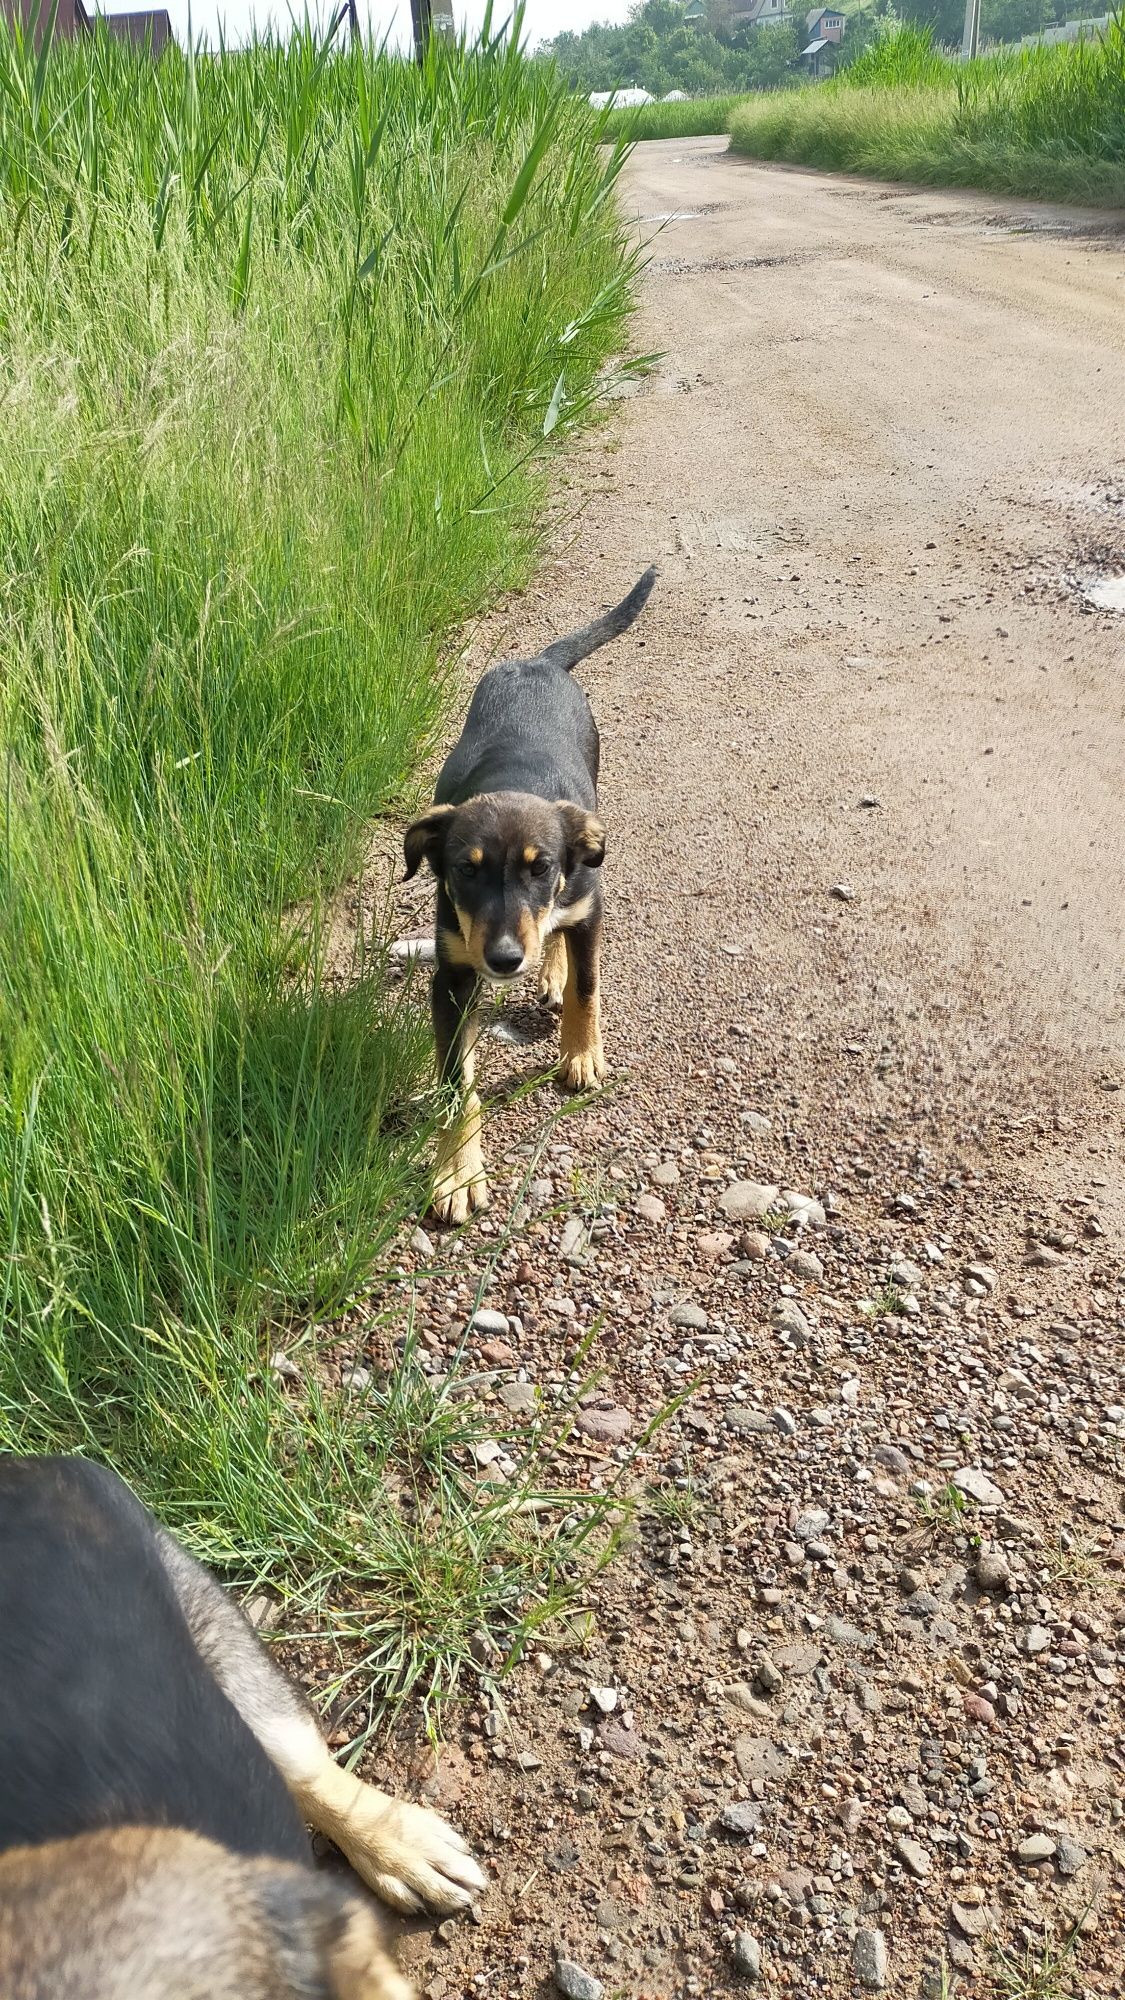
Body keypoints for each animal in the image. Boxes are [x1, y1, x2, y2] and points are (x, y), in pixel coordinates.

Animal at [400, 564, 652, 1216]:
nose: (506, 960)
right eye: (465, 870)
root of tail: (539, 661)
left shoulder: (587, 908)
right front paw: (456, 1172)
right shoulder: (453, 975)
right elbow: (456, 1084)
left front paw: (581, 1053)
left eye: (540, 869)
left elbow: (588, 986)